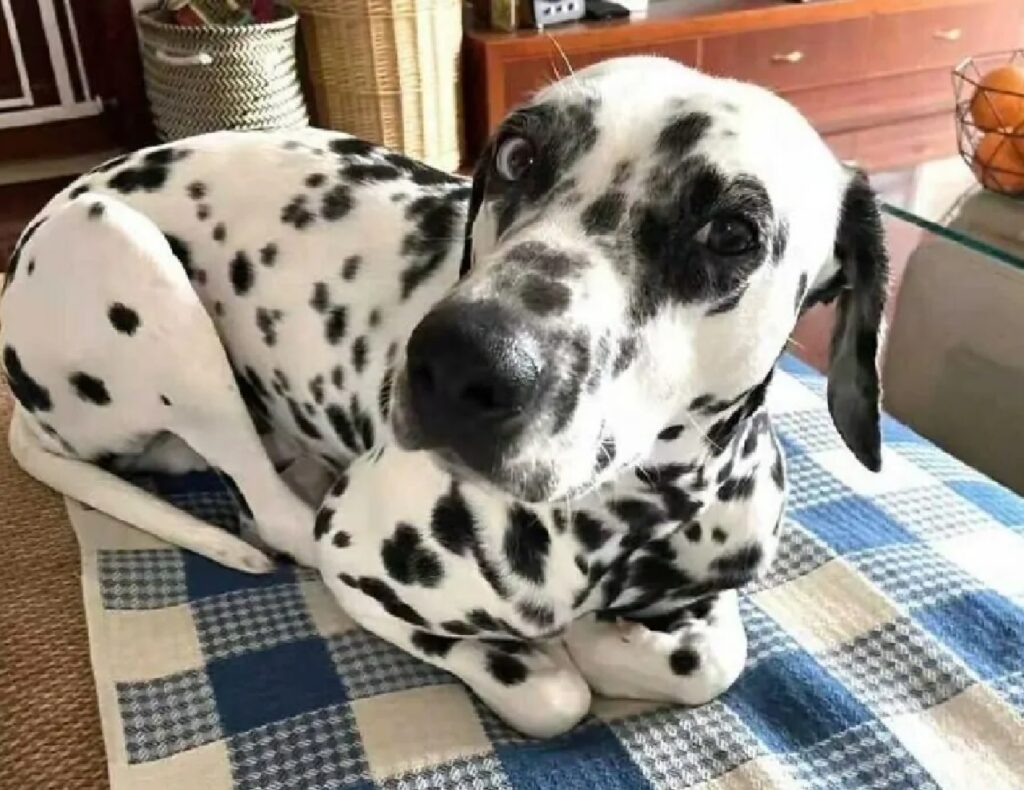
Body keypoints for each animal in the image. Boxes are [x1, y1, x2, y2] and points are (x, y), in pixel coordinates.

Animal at [0, 58, 884, 737]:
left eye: (731, 232)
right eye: (519, 154)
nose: (459, 364)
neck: (628, 521)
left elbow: (714, 658)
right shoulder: (356, 561)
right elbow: (552, 692)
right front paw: (580, 648)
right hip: (131, 259)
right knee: (273, 515)